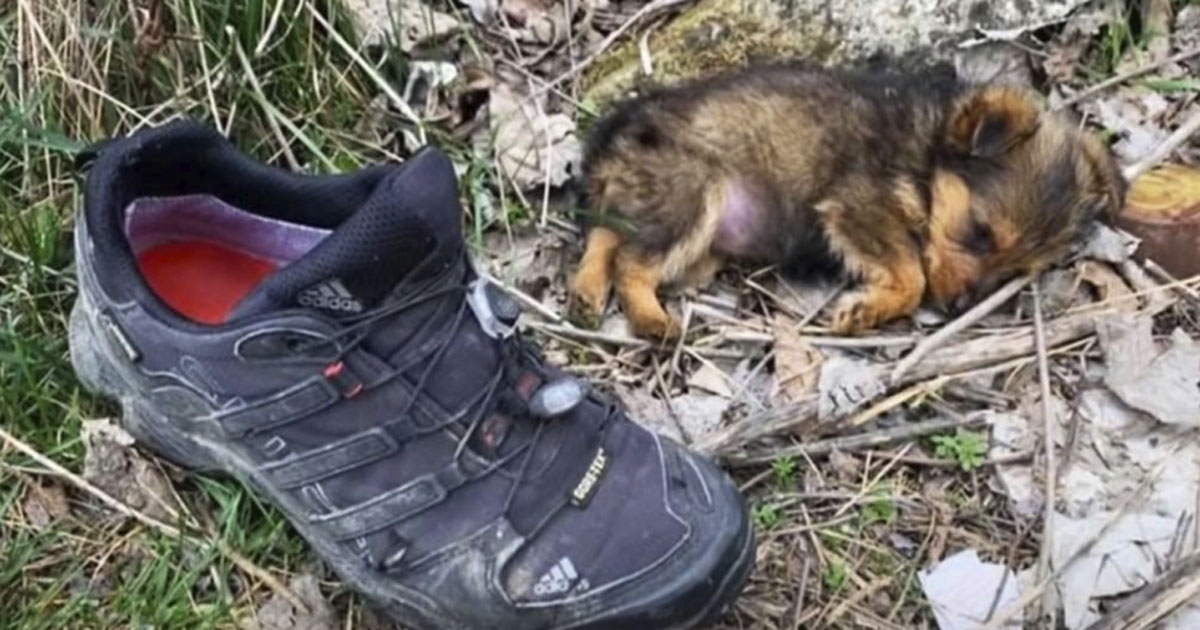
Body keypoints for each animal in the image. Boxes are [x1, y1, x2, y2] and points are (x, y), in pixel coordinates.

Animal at [566, 60, 1128, 338]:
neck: (926, 155)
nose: (957, 309)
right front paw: (868, 310)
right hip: (692, 196)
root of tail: (616, 135)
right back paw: (650, 319)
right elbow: (913, 277)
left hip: (668, 214)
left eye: (1015, 272)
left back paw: (587, 292)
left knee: (607, 233)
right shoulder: (858, 206)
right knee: (631, 261)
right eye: (980, 232)